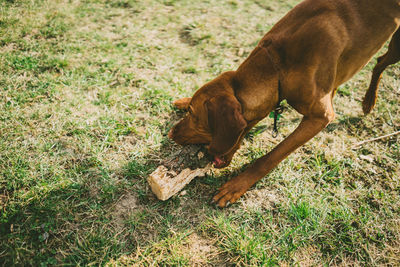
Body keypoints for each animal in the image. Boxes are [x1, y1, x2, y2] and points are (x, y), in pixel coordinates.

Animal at [167, 0, 398, 208]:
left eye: (193, 115)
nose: (171, 133)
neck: (278, 66)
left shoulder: (319, 118)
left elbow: (271, 157)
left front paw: (236, 186)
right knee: (374, 64)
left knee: (381, 62)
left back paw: (368, 101)